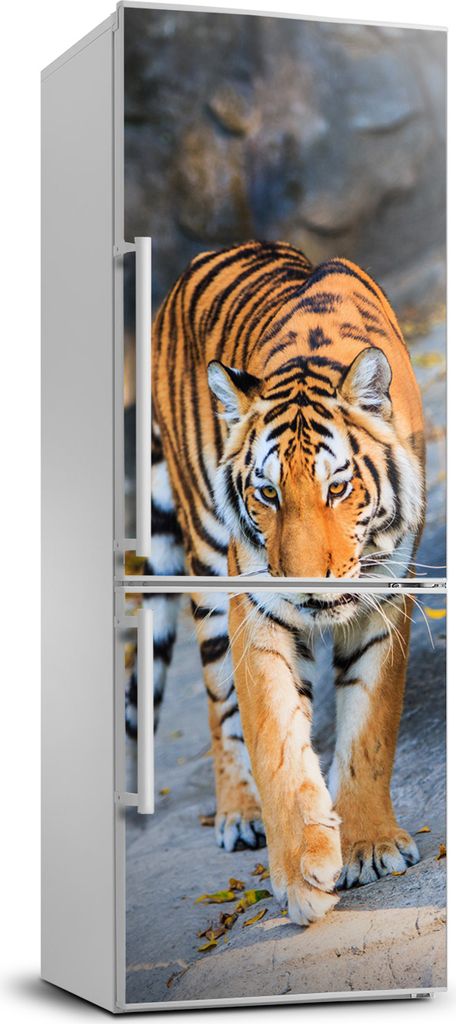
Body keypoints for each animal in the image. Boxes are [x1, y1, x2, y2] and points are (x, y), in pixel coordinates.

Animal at [126, 240, 425, 927]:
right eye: (267, 494)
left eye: (338, 487)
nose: (309, 583)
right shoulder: (258, 610)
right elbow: (276, 738)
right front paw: (300, 875)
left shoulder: (387, 600)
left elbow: (370, 727)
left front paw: (369, 845)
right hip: (208, 566)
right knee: (219, 705)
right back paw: (239, 814)